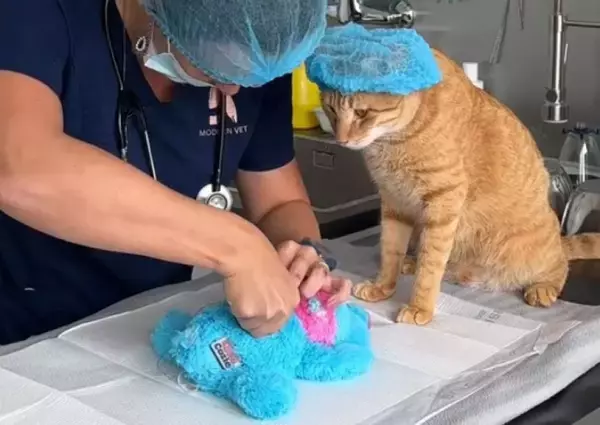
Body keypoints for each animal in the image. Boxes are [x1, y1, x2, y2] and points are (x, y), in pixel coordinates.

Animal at [320, 49, 600, 326]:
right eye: (330, 109)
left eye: (362, 113)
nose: (341, 140)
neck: (391, 141)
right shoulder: (394, 202)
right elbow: (390, 251)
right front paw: (383, 287)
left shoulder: (444, 202)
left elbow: (430, 266)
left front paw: (420, 307)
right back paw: (410, 263)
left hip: (528, 252)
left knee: (560, 264)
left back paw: (542, 287)